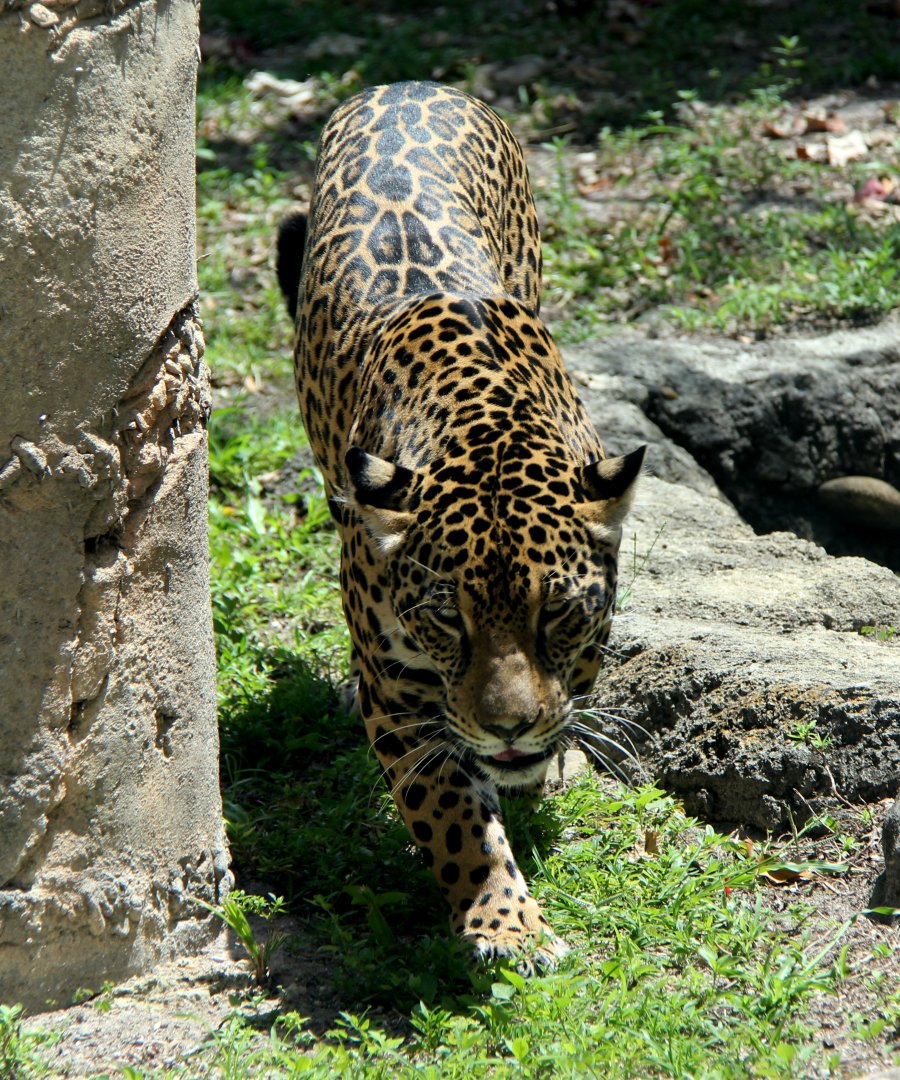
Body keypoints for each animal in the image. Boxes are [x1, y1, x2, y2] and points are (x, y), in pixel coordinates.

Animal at [277, 80, 644, 969]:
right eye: (448, 619)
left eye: (560, 615)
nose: (508, 730)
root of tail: (408, 83)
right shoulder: (396, 688)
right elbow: (451, 811)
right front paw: (506, 923)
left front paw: (539, 764)